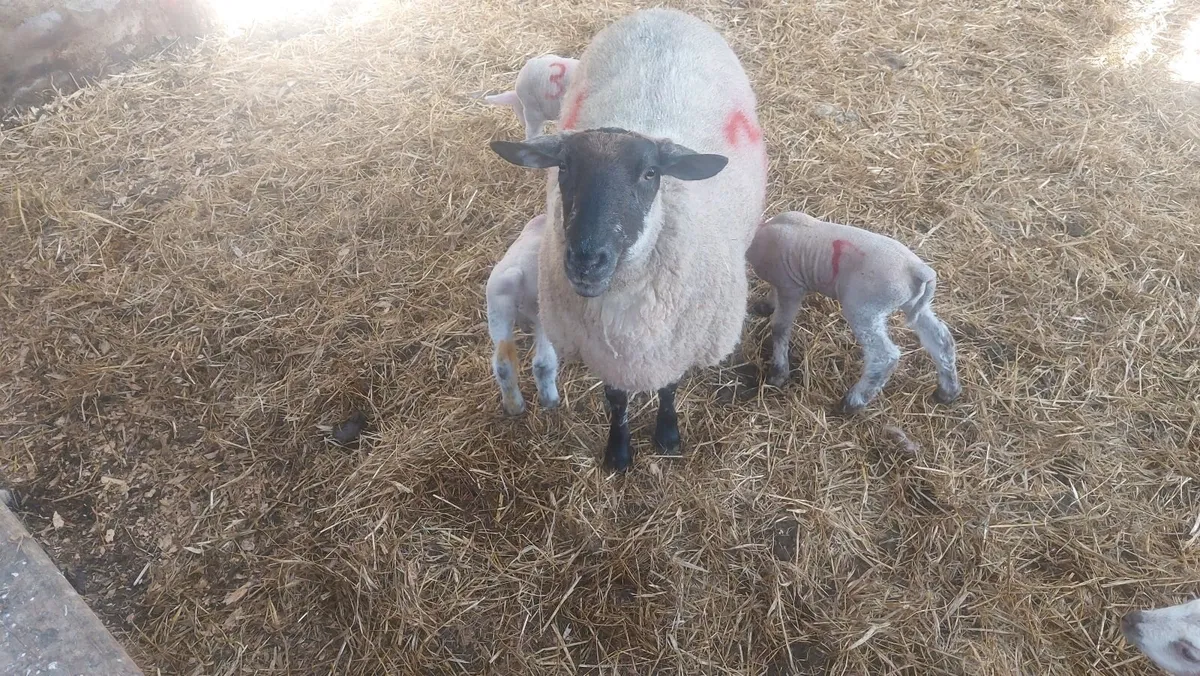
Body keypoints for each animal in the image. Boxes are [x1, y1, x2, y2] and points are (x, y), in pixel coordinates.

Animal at [485, 213, 559, 416]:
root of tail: (518, 273)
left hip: (497, 311)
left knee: (503, 365)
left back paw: (514, 406)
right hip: (543, 315)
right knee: (543, 363)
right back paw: (550, 400)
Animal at [746, 211, 961, 413]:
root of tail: (917, 270)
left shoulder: (791, 286)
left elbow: (780, 327)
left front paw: (778, 373)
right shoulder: (783, 284)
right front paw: (766, 305)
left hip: (864, 307)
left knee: (884, 355)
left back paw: (854, 402)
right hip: (913, 303)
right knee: (941, 339)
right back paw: (947, 391)